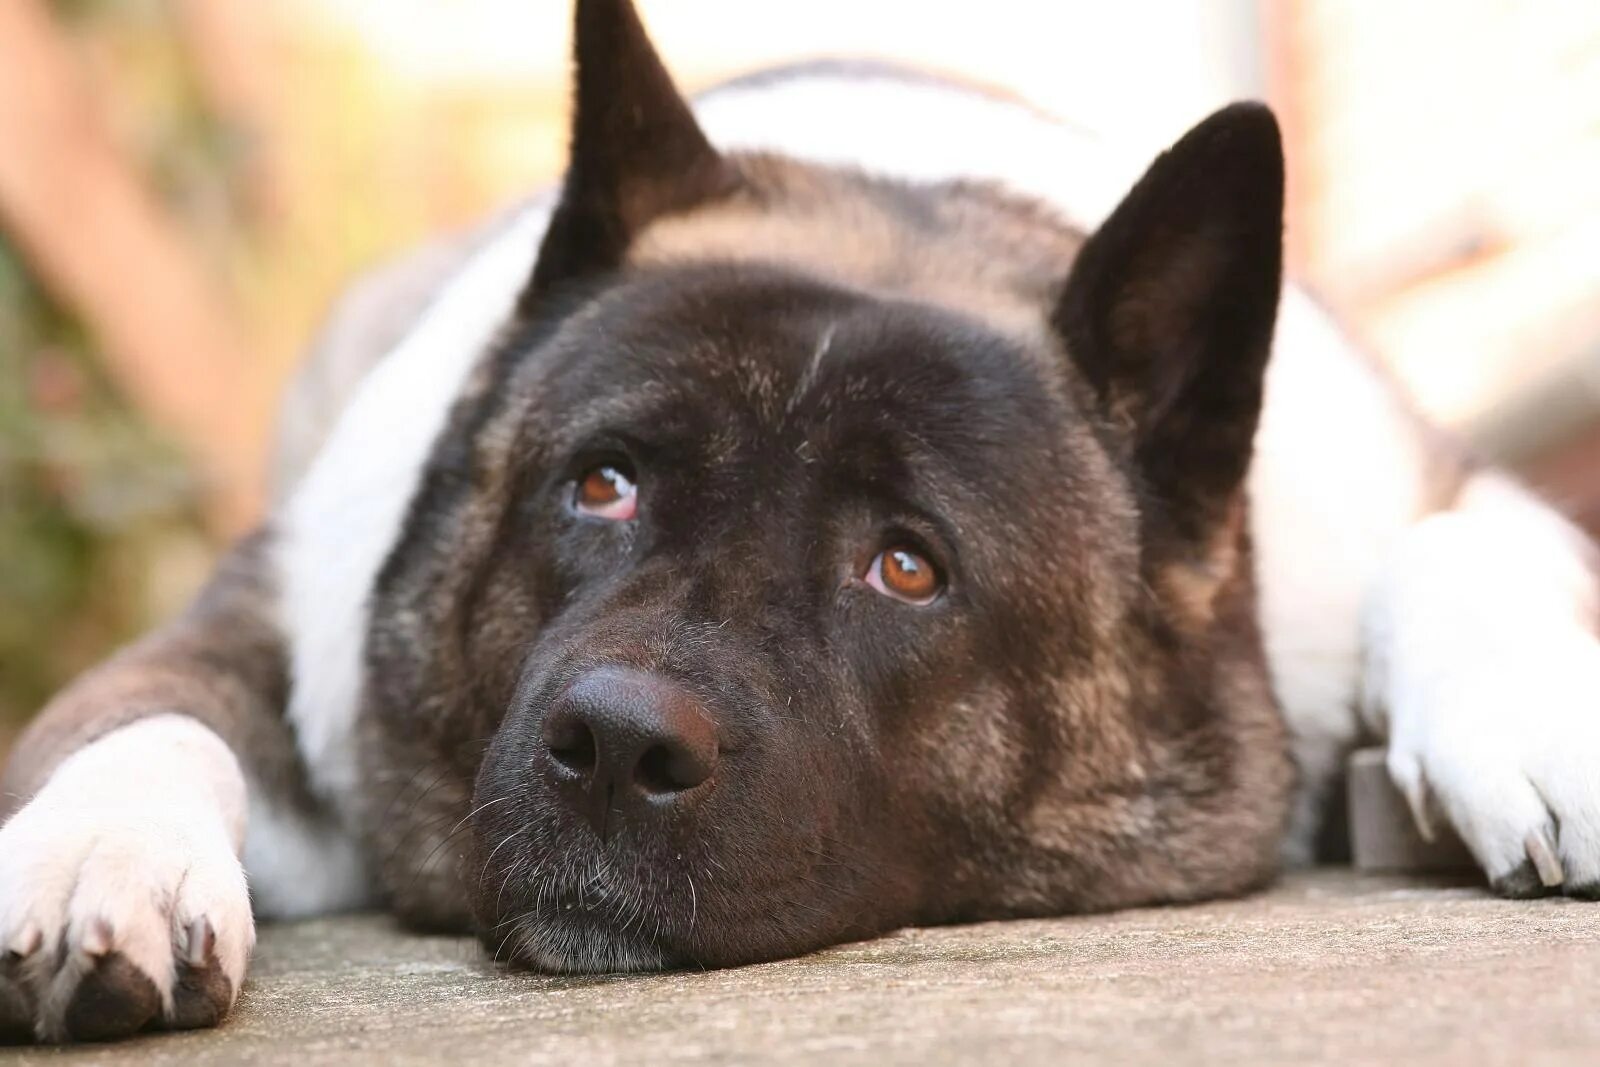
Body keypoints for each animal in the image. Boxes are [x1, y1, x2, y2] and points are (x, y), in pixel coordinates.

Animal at [3, 0, 1600, 1049]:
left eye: (907, 564)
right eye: (603, 483)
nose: (615, 746)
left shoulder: (1444, 487)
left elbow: (1454, 543)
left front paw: (1536, 718)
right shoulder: (273, 613)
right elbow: (148, 710)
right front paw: (101, 851)